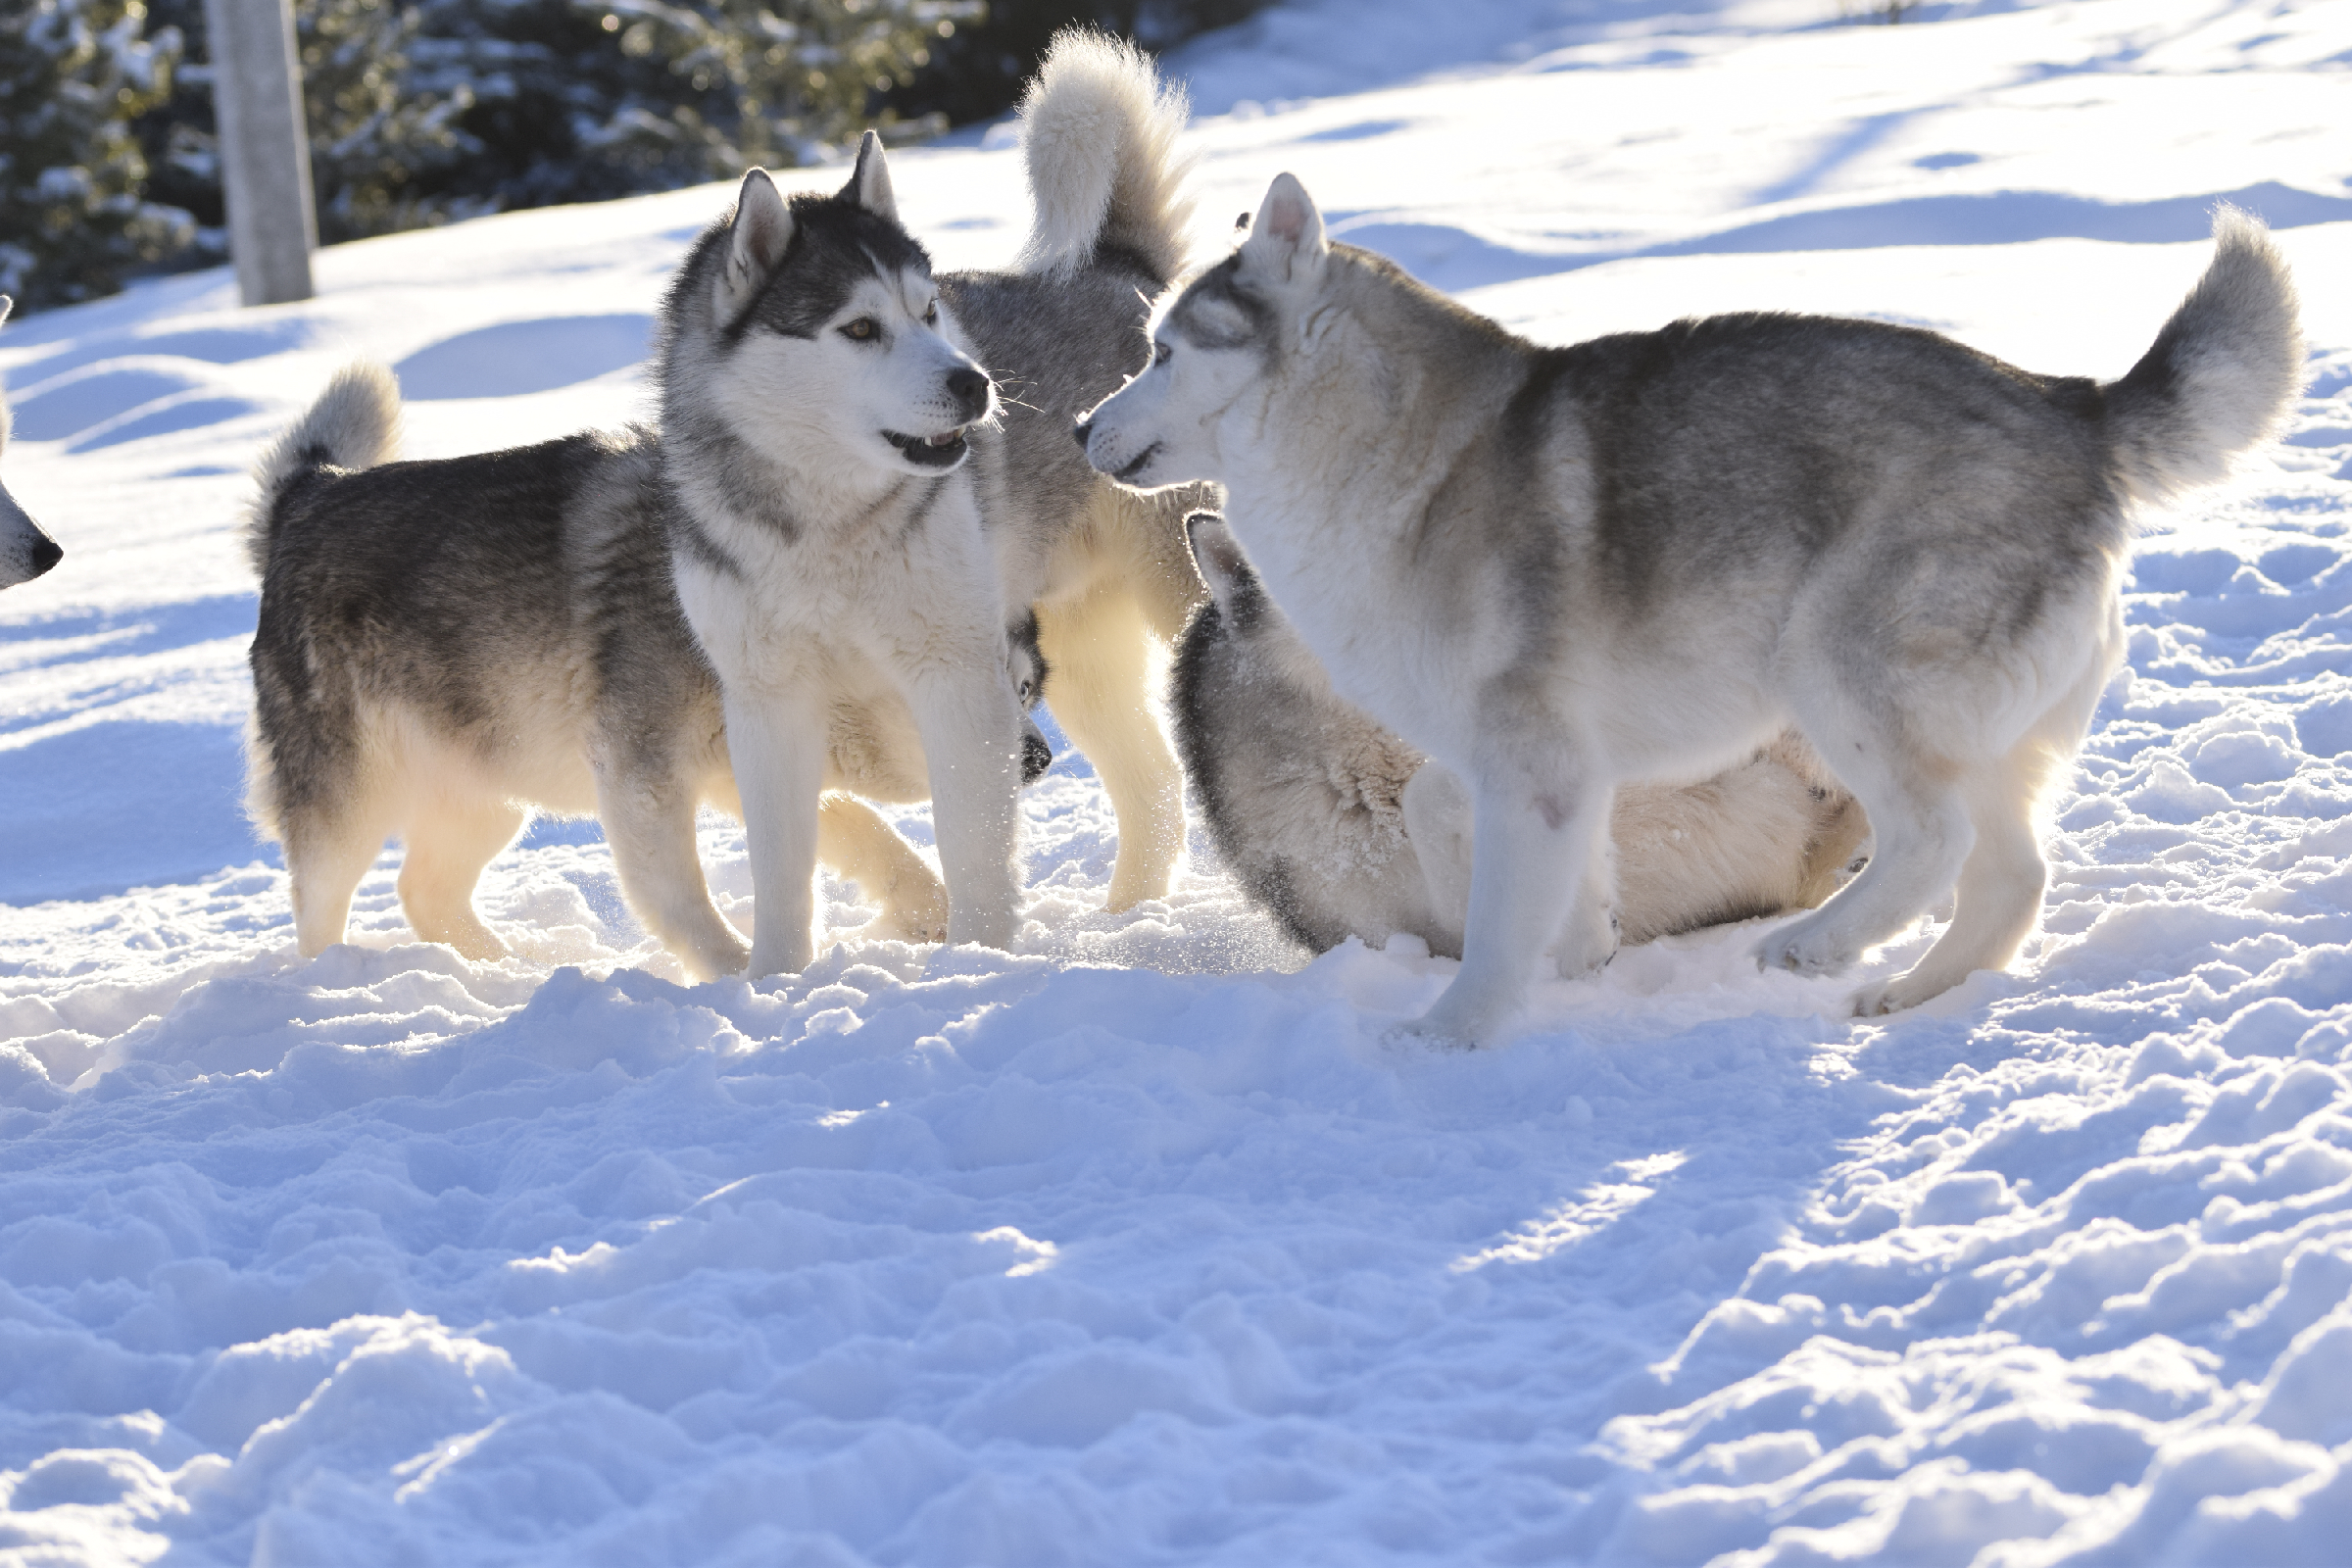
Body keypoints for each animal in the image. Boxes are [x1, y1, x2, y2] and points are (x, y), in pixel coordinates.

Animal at [245, 146, 1049, 982]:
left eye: (929, 313)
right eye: (862, 328)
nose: (1036, 755)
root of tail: (309, 492)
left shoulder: (739, 766)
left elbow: (863, 837)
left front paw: (925, 911)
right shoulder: (641, 776)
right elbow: (683, 902)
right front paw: (735, 973)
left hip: (489, 788)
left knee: (424, 889)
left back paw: (505, 970)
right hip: (350, 804)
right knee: (322, 908)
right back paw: (338, 978)